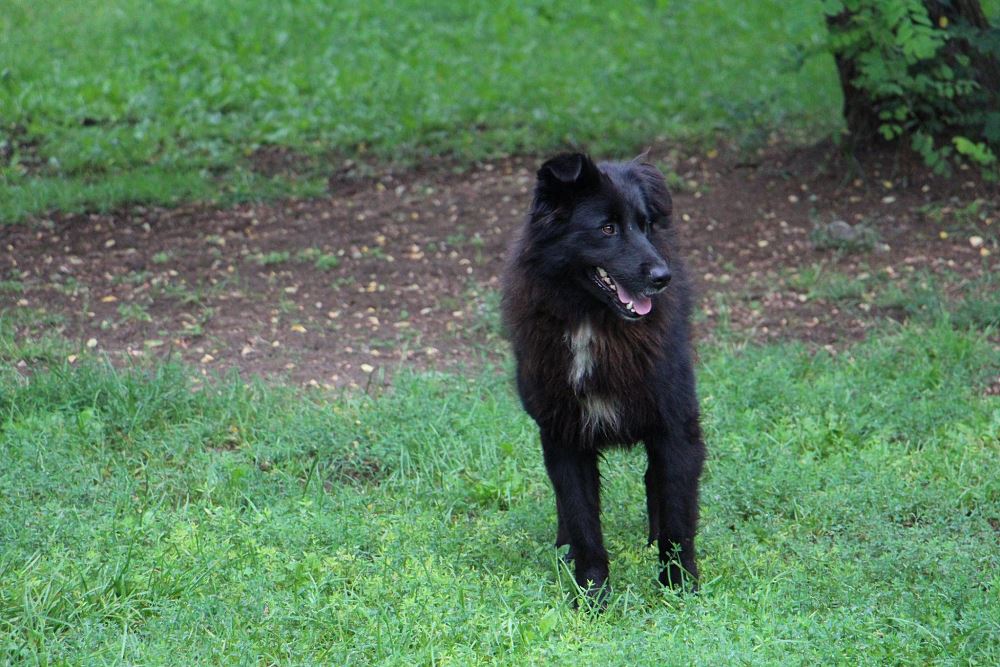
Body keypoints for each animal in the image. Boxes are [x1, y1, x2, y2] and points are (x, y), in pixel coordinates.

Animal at [500, 153, 705, 600]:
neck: (594, 323)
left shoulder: (675, 426)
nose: (663, 278)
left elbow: (677, 519)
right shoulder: (563, 434)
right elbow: (582, 520)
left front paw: (679, 588)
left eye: (644, 225)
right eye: (607, 228)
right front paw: (592, 595)